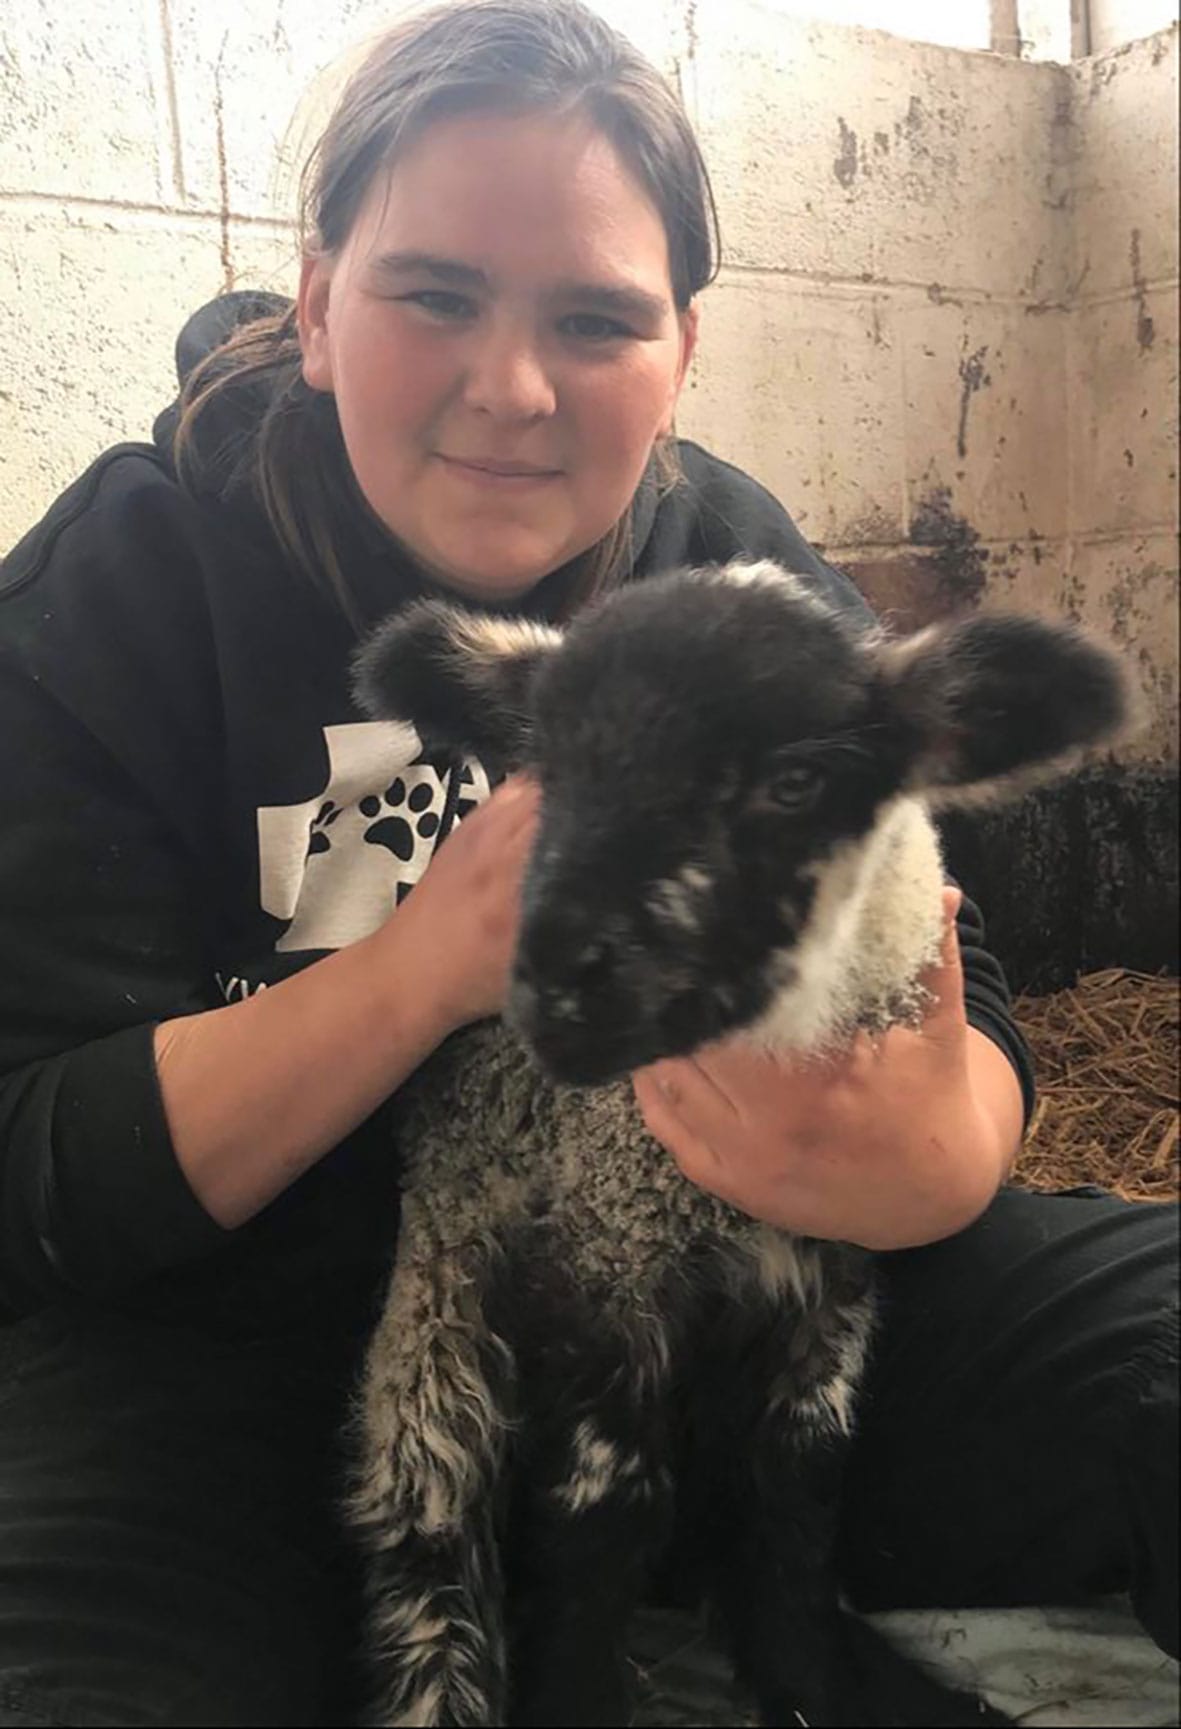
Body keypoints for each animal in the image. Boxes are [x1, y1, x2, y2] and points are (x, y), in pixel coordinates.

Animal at [347, 559, 1129, 1729]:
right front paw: (579, 1693)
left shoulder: (831, 1276)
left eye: (794, 783)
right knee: (429, 1528)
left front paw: (806, 1677)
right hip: (436, 1300)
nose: (557, 1001)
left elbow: (795, 1480)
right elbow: (603, 1506)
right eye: (547, 770)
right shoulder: (609, 1249)